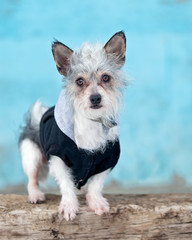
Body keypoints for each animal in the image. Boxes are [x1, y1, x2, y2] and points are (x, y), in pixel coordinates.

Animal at [19, 31, 127, 221]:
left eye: (106, 78)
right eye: (80, 81)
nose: (95, 98)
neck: (91, 121)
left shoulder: (108, 159)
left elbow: (96, 184)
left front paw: (95, 201)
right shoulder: (57, 158)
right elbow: (66, 184)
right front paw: (69, 205)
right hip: (31, 156)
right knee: (32, 179)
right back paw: (35, 195)